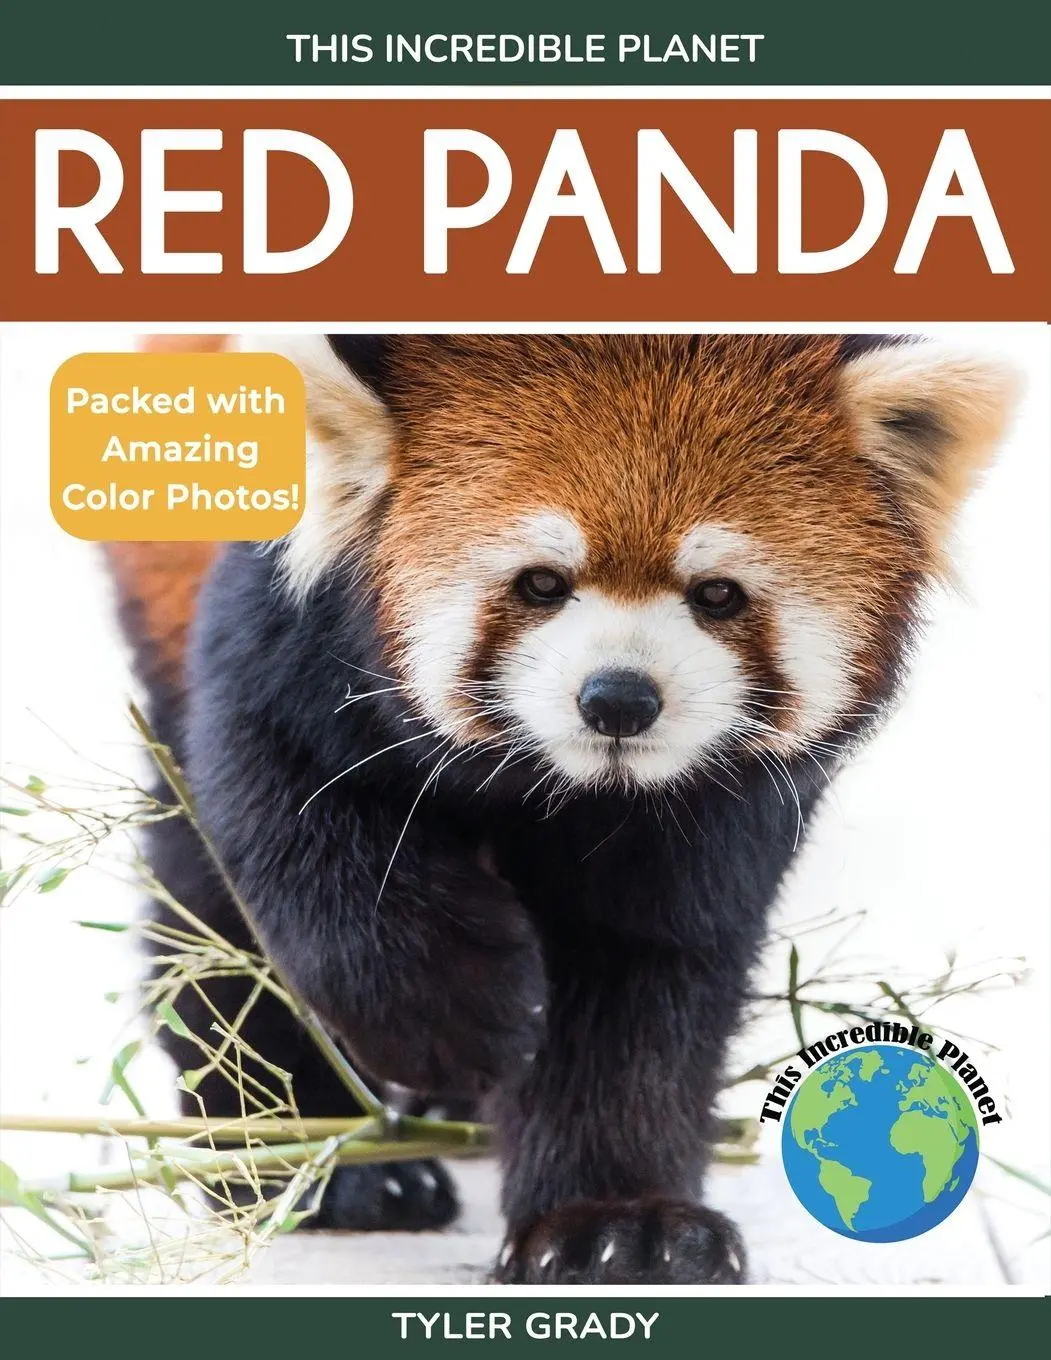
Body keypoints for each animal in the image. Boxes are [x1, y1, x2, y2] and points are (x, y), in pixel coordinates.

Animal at [105, 333, 1015, 1283]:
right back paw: (308, 1164)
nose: (617, 699)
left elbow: (639, 965)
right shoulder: (283, 637)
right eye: (540, 583)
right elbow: (294, 825)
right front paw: (453, 1019)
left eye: (717, 594)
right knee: (205, 907)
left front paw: (617, 1222)